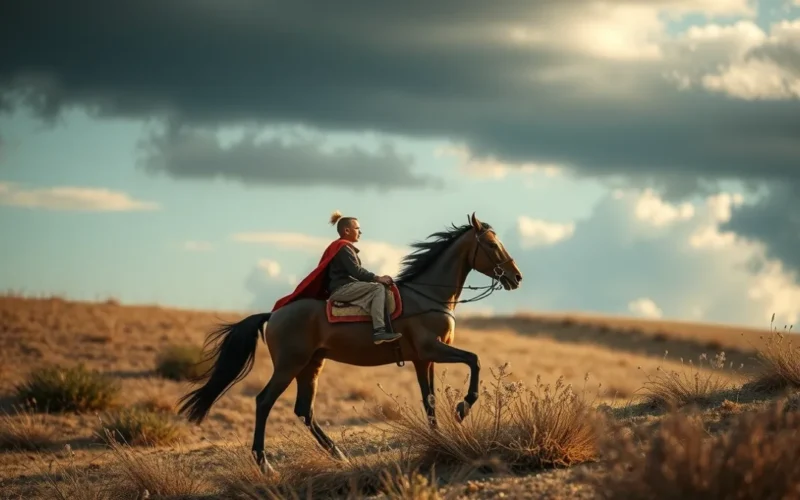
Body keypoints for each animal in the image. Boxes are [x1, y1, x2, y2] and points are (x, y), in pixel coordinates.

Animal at [177, 213, 523, 473]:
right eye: (492, 244)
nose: (516, 277)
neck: (428, 296)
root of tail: (273, 314)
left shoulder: (423, 359)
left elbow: (430, 401)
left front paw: (440, 438)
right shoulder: (431, 350)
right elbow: (474, 360)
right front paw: (463, 407)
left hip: (312, 366)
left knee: (304, 410)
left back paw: (337, 453)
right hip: (290, 365)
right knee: (264, 402)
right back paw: (265, 464)